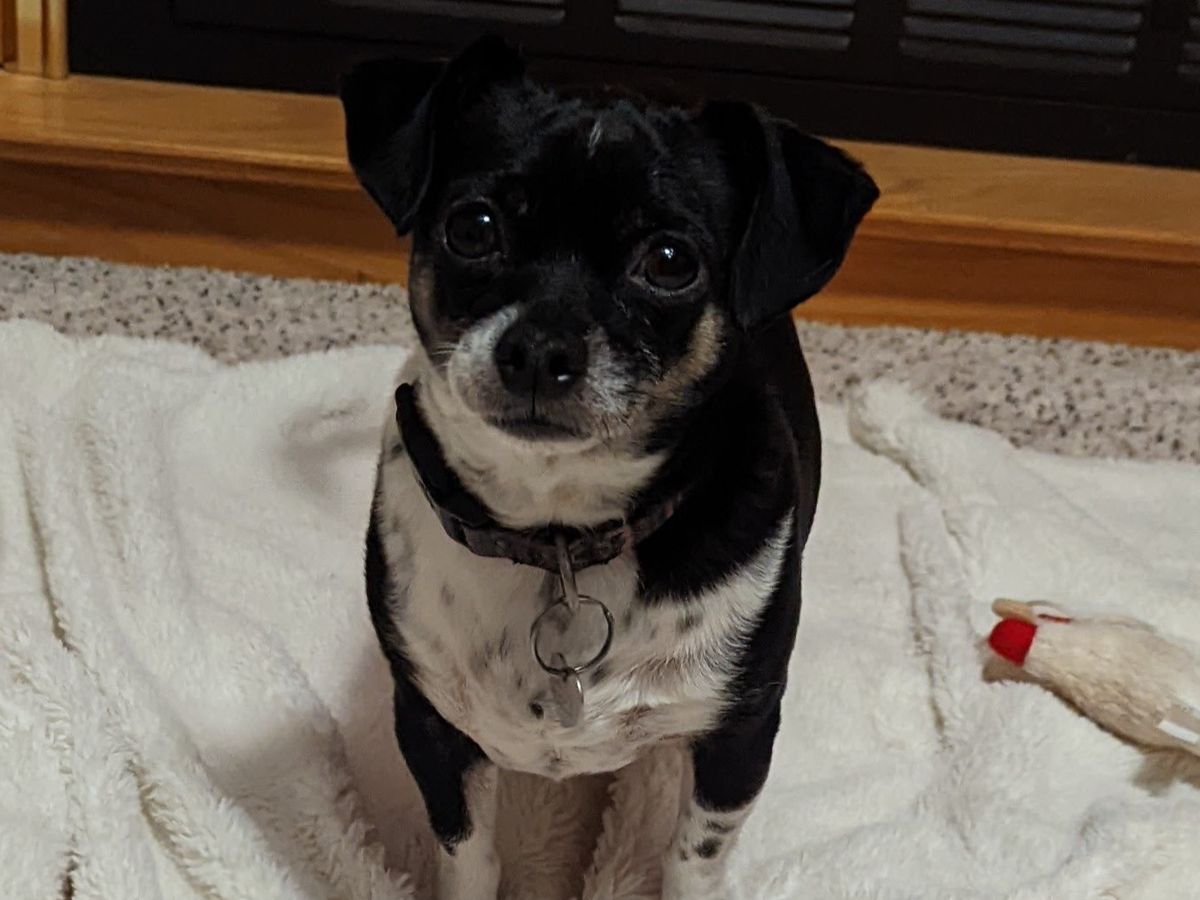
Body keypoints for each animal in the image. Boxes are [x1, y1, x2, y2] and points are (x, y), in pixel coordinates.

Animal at [342, 35, 877, 899]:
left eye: (669, 260)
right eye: (472, 225)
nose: (538, 348)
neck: (559, 535)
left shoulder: (739, 735)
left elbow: (692, 860)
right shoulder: (428, 724)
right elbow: (468, 853)